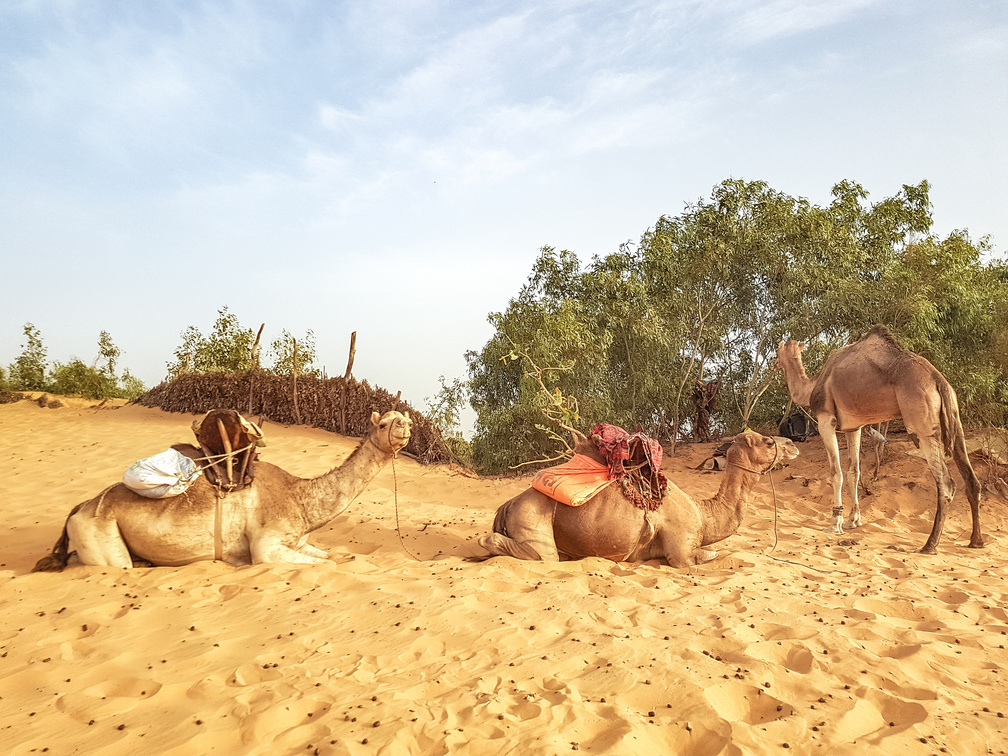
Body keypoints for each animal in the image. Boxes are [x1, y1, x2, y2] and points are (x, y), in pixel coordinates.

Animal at [32, 411, 409, 572]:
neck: (301, 497)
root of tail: (79, 508)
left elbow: (334, 556)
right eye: (382, 423)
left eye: (402, 418)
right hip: (101, 537)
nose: (406, 426)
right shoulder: (267, 547)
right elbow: (326, 563)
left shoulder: (298, 540)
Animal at [475, 431, 798, 568]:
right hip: (531, 517)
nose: (793, 444)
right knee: (534, 552)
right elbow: (705, 556)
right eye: (768, 442)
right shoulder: (681, 550)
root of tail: (507, 504)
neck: (704, 514)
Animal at [774, 326, 979, 556]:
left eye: (778, 350)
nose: (774, 362)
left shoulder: (826, 419)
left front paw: (835, 523)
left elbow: (836, 472)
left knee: (946, 484)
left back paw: (929, 544)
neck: (812, 385)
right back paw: (976, 541)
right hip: (955, 420)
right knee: (971, 479)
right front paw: (853, 520)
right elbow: (854, 472)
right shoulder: (854, 427)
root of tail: (938, 381)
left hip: (922, 427)